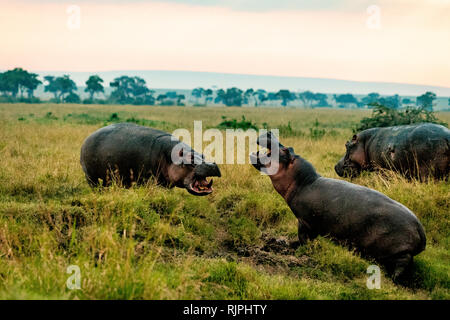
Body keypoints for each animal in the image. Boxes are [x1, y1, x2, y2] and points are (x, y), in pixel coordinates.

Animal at [81, 122, 222, 195]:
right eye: (191, 159)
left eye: (203, 155)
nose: (211, 164)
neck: (170, 156)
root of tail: (88, 138)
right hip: (90, 176)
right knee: (94, 186)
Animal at [251, 131, 428, 282]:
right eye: (291, 147)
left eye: (285, 150)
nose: (269, 132)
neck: (303, 182)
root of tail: (420, 229)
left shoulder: (304, 221)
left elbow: (303, 237)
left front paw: (300, 248)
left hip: (400, 252)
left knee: (402, 263)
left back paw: (393, 277)